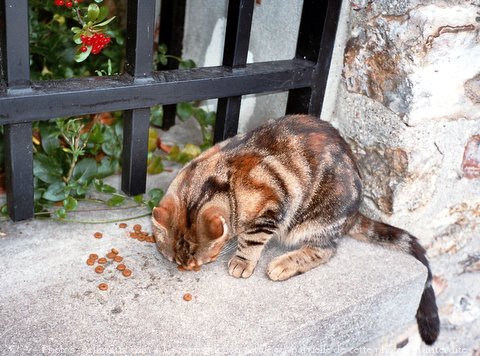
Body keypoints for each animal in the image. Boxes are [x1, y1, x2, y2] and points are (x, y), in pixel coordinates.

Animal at [152, 114, 440, 344]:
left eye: (204, 261)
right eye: (175, 261)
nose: (186, 269)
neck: (214, 181)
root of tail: (355, 213)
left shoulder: (271, 209)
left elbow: (252, 241)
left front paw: (242, 262)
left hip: (316, 221)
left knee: (326, 250)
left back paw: (283, 264)